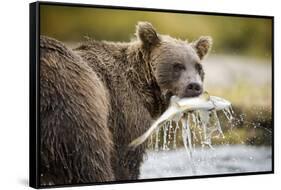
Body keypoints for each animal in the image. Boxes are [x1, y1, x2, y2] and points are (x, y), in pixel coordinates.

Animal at [38, 21, 210, 186]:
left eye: (198, 67)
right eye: (177, 66)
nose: (194, 86)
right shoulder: (125, 114)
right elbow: (126, 160)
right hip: (74, 107)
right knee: (89, 162)